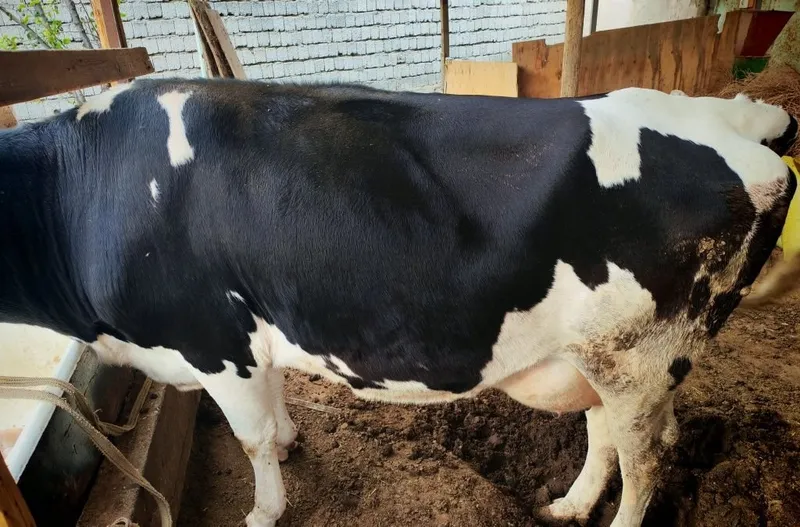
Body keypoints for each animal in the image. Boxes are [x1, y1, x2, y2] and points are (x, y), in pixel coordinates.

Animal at [0, 78, 797, 527]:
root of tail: (733, 117)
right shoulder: (256, 329)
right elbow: (276, 405)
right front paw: (290, 441)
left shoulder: (212, 340)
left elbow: (248, 439)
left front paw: (263, 509)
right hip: (602, 353)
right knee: (604, 435)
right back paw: (569, 505)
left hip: (642, 358)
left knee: (646, 459)